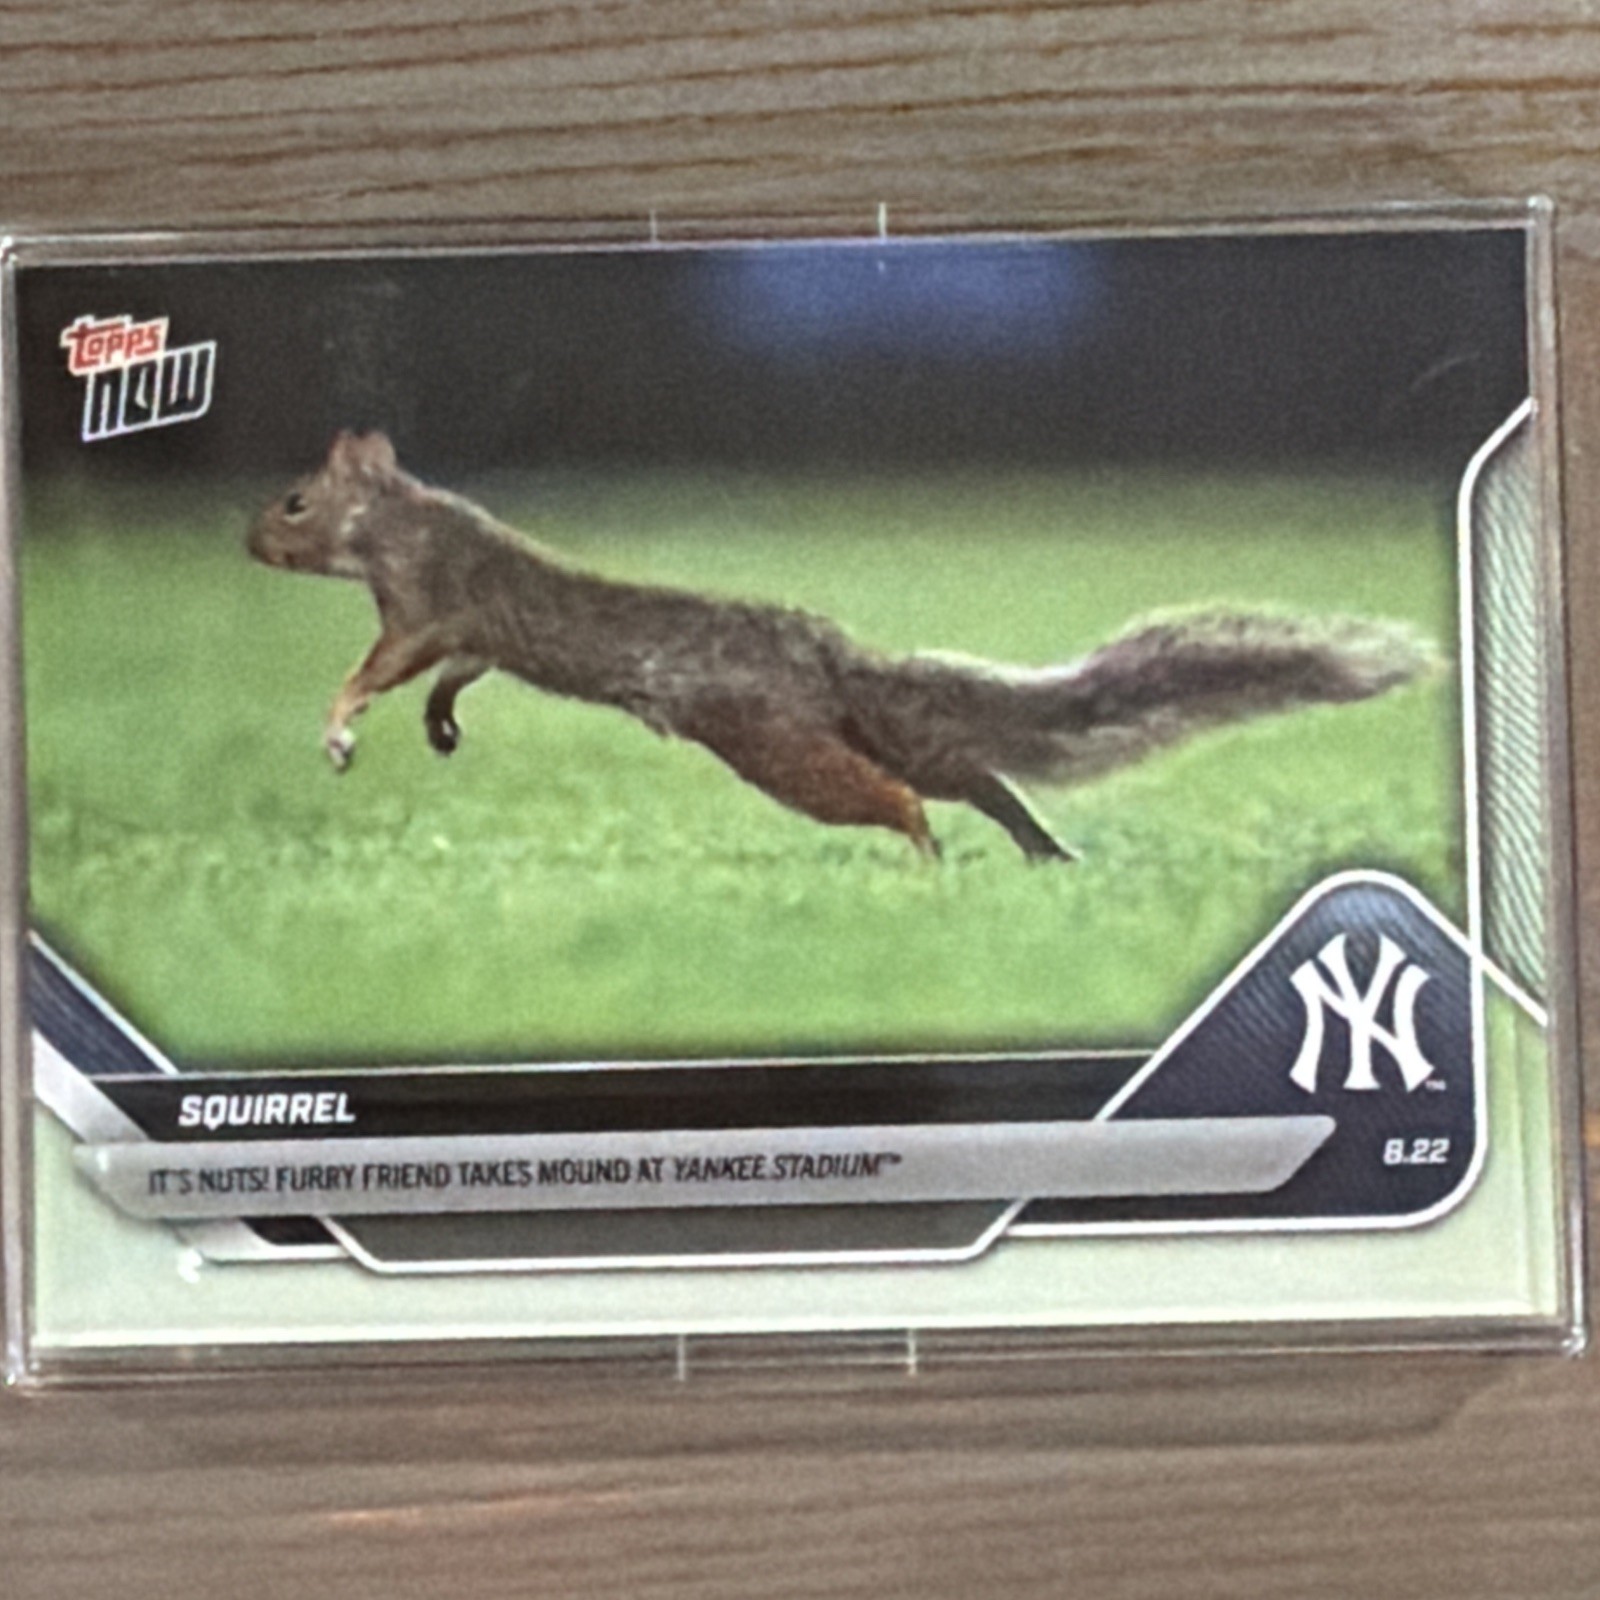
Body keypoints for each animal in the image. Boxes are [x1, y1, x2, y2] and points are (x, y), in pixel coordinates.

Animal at [246, 431, 1432, 862]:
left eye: (295, 501)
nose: (247, 539)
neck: (399, 519)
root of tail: (823, 655)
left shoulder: (423, 603)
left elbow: (378, 669)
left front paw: (342, 727)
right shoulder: (465, 632)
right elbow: (455, 675)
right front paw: (441, 727)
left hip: (775, 745)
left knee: (901, 798)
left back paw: (927, 862)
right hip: (864, 736)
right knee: (972, 773)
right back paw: (1042, 854)